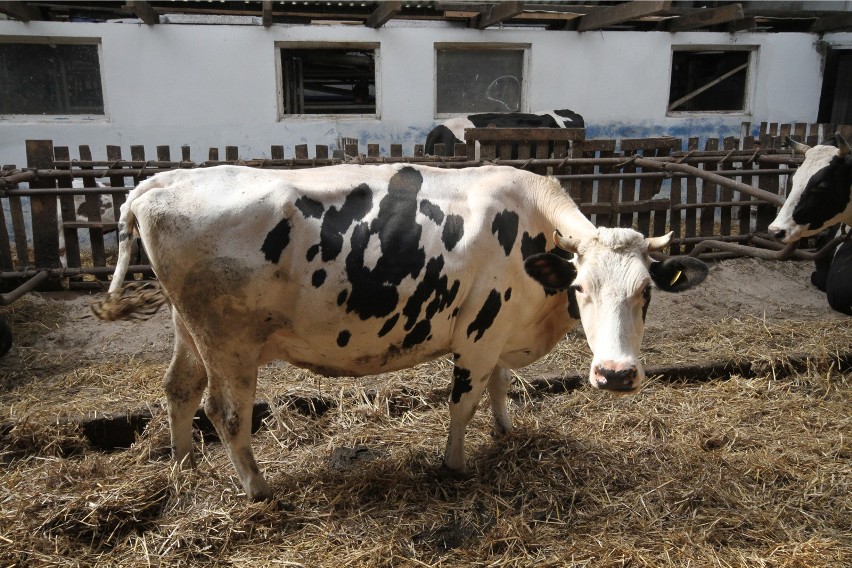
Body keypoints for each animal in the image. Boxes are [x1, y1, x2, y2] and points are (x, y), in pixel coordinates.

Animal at [91, 162, 704, 500]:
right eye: (581, 288)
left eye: (646, 293)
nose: (617, 375)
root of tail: (161, 182)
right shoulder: (478, 335)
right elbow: (464, 401)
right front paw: (454, 465)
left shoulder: (499, 331)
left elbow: (500, 386)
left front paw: (506, 431)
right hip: (229, 342)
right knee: (226, 412)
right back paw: (259, 491)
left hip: (188, 327)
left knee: (179, 388)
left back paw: (183, 465)